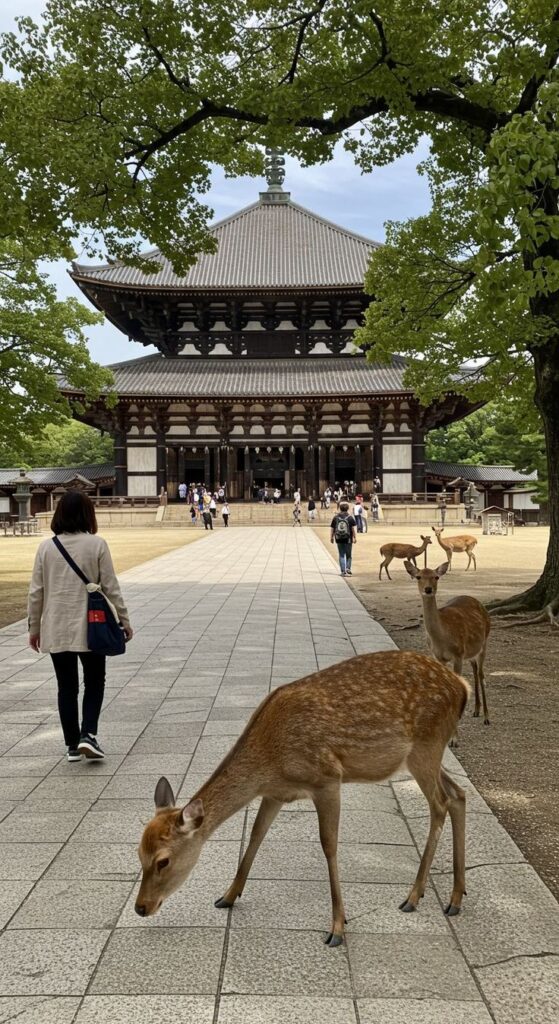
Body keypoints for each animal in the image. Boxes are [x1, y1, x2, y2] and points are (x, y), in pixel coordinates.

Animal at [136, 650, 469, 948]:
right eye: (138, 854)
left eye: (163, 861)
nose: (141, 907)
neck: (270, 760)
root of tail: (462, 687)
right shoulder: (276, 794)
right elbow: (256, 835)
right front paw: (227, 896)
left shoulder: (327, 779)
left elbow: (329, 845)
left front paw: (337, 926)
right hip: (426, 755)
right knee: (458, 794)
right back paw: (455, 897)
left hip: (426, 746)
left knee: (440, 803)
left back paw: (413, 896)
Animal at [405, 560, 490, 734]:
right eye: (418, 576)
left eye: (436, 577)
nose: (428, 589)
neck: (442, 639)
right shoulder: (439, 657)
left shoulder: (457, 654)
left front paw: (455, 735)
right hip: (470, 652)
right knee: (475, 670)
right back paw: (476, 710)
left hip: (484, 643)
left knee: (481, 674)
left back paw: (486, 717)